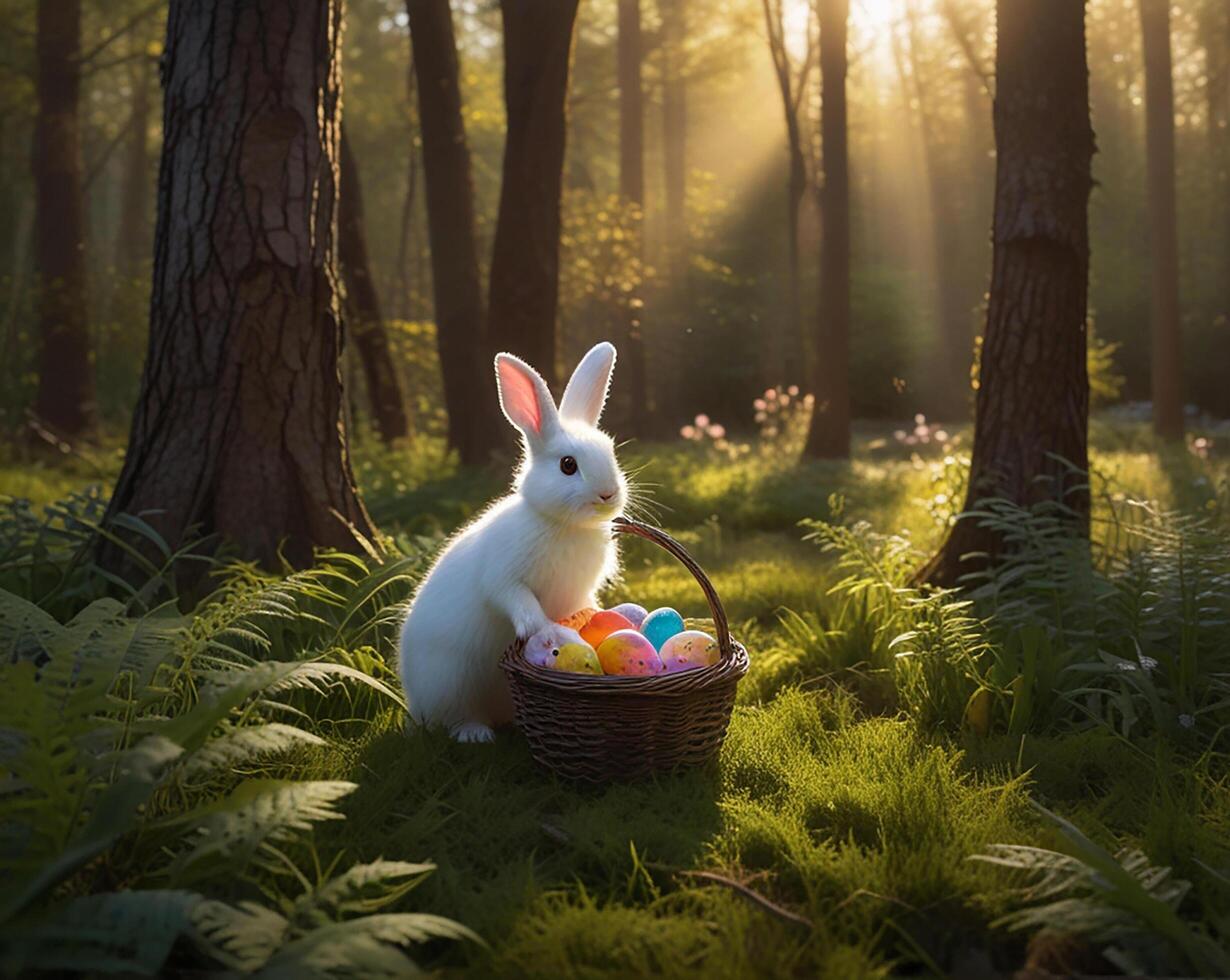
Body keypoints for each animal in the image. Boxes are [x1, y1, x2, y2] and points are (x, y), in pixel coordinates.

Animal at [400, 339, 629, 737]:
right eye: (568, 465)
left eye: (611, 453)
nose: (608, 494)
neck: (563, 524)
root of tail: (414, 704)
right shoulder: (504, 577)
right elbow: (519, 602)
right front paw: (547, 633)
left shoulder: (577, 594)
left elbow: (584, 609)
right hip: (451, 680)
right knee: (456, 716)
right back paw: (475, 733)